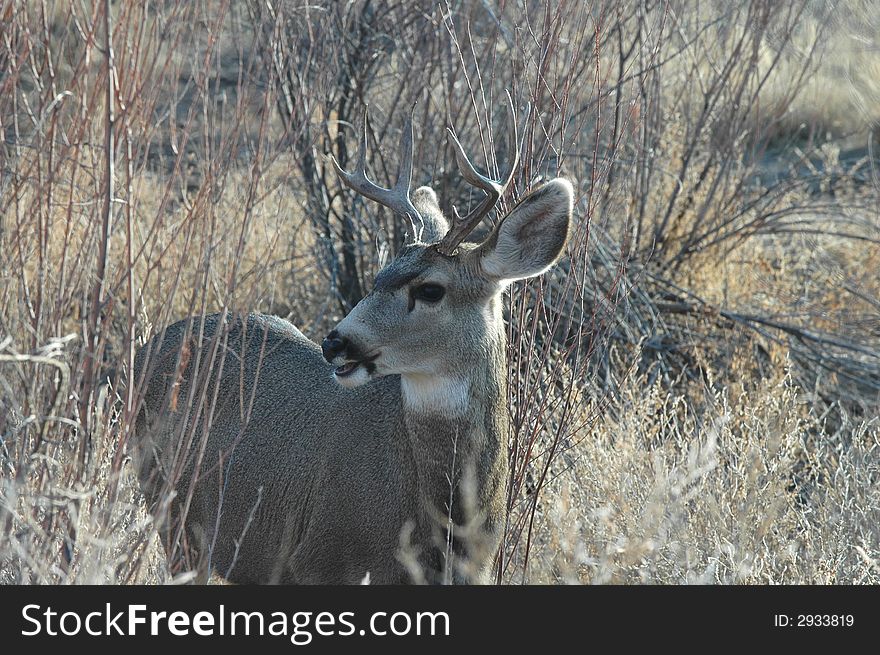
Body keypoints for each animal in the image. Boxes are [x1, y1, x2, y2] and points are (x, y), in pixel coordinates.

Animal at [131, 109, 572, 584]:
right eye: (378, 276)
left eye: (430, 289)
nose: (334, 342)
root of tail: (146, 347)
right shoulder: (317, 559)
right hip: (173, 515)